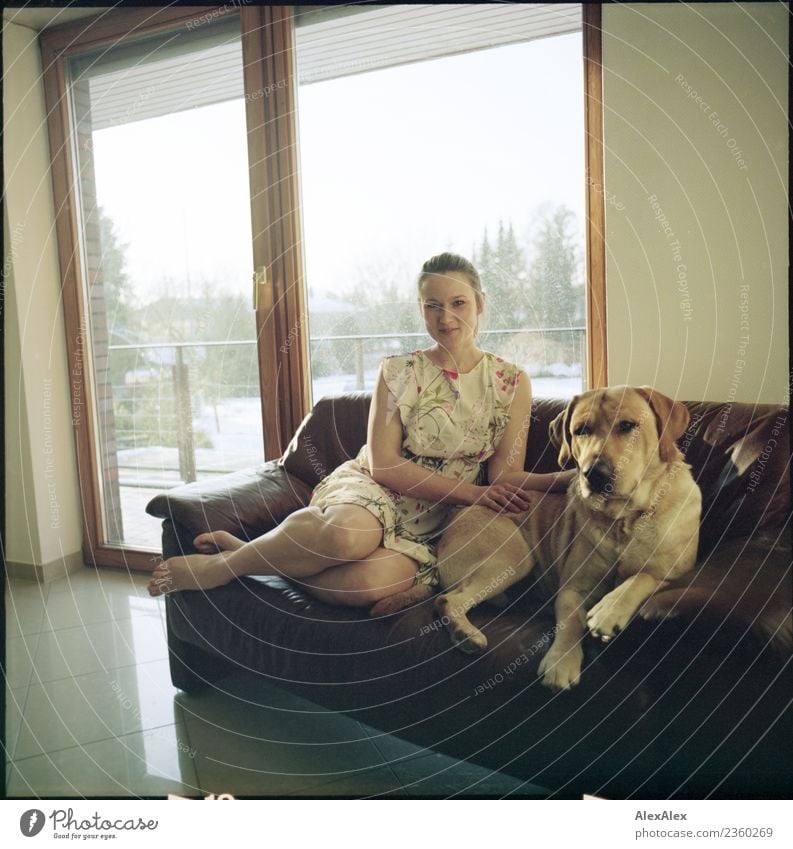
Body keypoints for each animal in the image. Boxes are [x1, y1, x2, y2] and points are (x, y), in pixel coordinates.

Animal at [434, 384, 700, 688]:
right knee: (447, 599)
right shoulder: (573, 589)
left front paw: (610, 610)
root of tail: (456, 515)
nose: (595, 474)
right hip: (513, 556)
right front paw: (561, 661)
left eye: (627, 425)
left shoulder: (672, 572)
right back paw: (466, 633)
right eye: (581, 430)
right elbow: (571, 622)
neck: (623, 519)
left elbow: (641, 577)